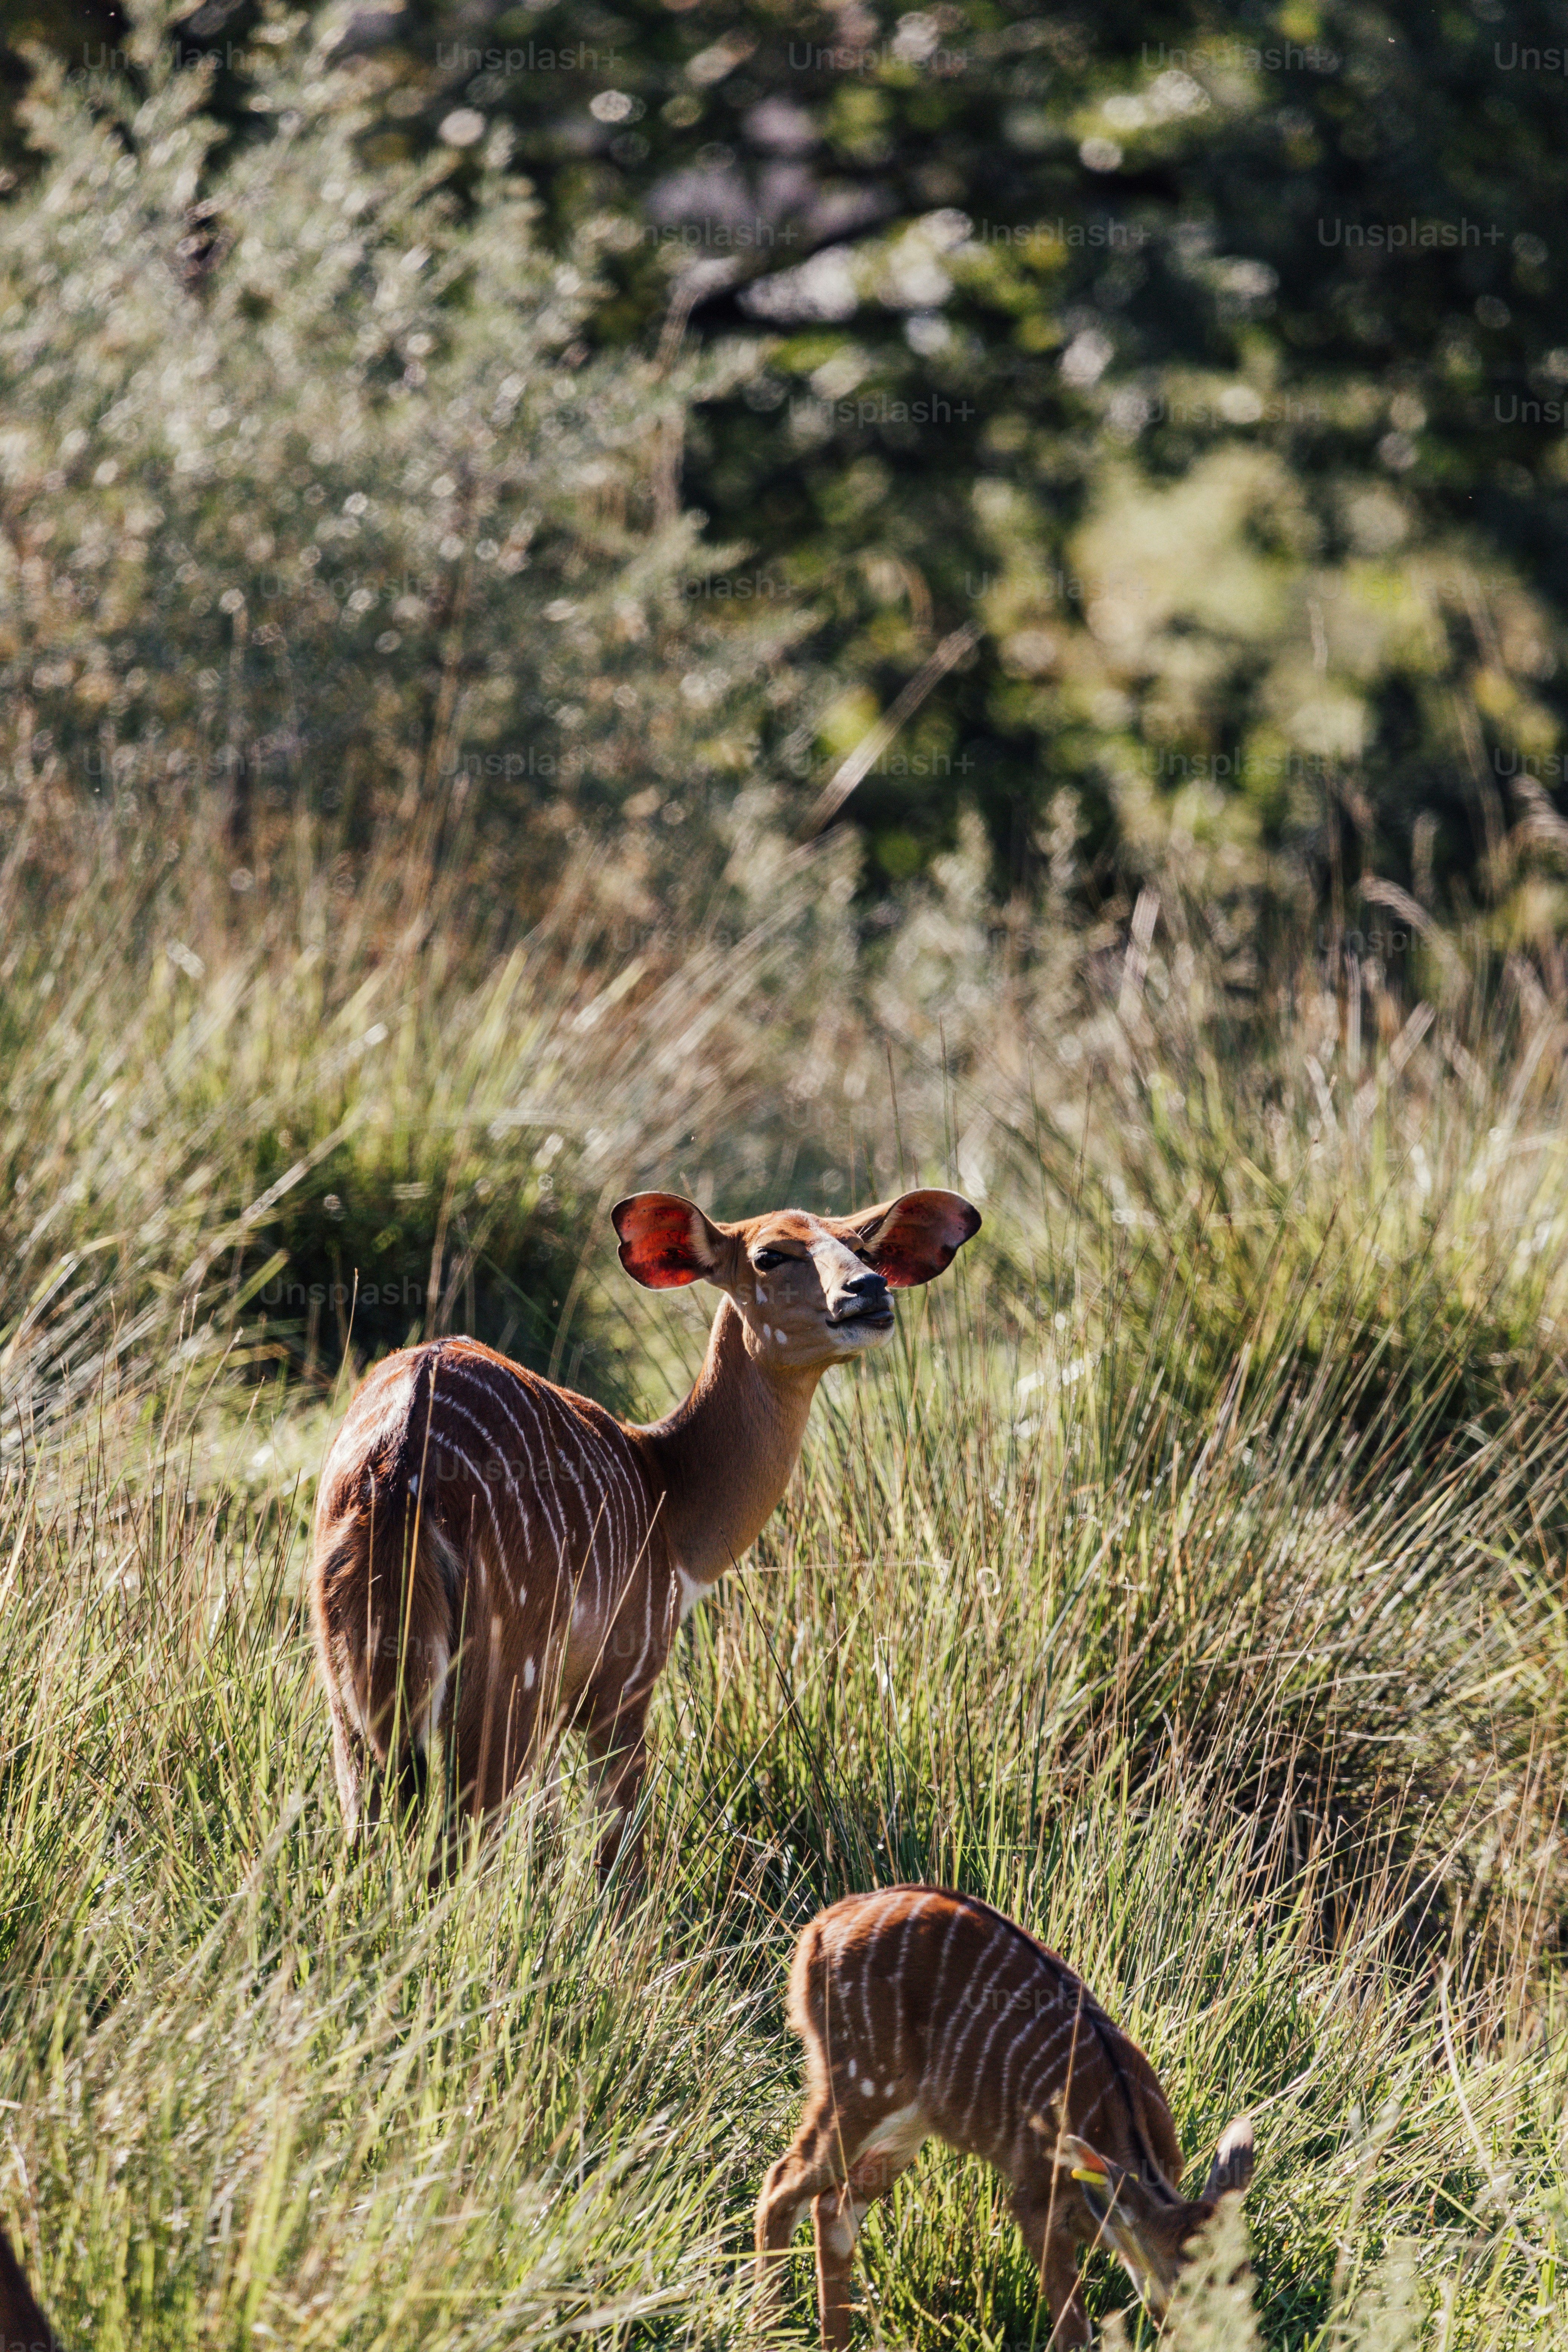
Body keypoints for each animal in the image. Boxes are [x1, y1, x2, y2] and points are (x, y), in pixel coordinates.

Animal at [309, 1187, 980, 1873]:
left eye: (862, 1248)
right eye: (771, 1255)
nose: (870, 1290)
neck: (666, 1489)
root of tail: (399, 1462)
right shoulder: (626, 1682)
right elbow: (616, 1855)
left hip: (351, 1685)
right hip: (505, 1677)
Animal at [754, 1887, 1255, 2349]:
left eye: (1244, 2278)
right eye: (1186, 2284)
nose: (1229, 2337)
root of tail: (817, 1928)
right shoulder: (1033, 2198)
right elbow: (1073, 2331)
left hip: (907, 2123)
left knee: (831, 2208)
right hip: (860, 2083)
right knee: (781, 2182)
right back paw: (768, 2329)